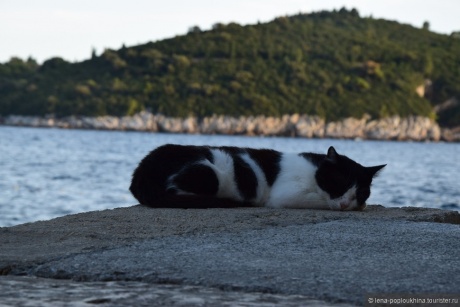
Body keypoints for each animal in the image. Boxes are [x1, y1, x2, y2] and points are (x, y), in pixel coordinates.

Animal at [129, 144, 384, 212]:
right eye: (339, 183)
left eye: (361, 192)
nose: (346, 204)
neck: (314, 172)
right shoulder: (286, 195)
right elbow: (320, 201)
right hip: (210, 171)